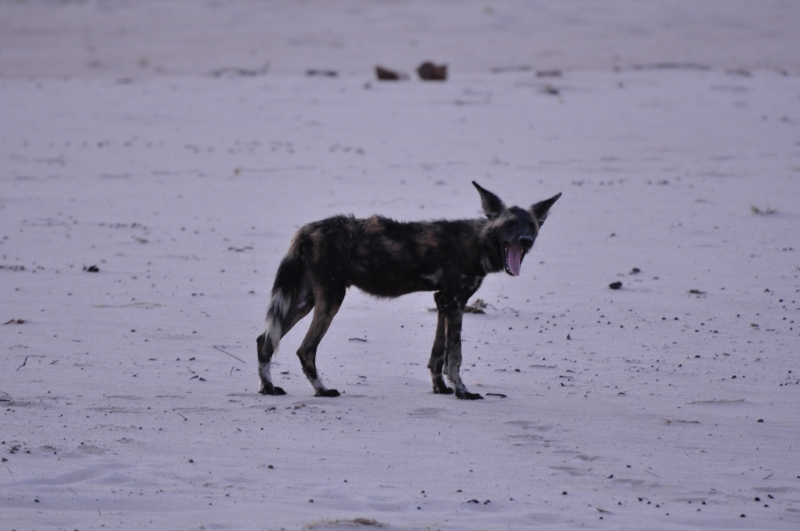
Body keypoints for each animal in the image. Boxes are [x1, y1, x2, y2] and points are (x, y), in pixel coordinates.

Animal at [256, 182, 560, 400]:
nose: (525, 239)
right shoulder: (455, 302)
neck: (479, 243)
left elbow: (438, 355)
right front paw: (462, 391)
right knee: (305, 350)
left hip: (304, 301)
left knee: (265, 340)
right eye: (509, 224)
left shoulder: (443, 301)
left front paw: (441, 388)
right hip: (331, 300)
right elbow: (456, 356)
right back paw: (322, 390)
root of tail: (306, 230)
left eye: (531, 226)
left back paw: (269, 388)